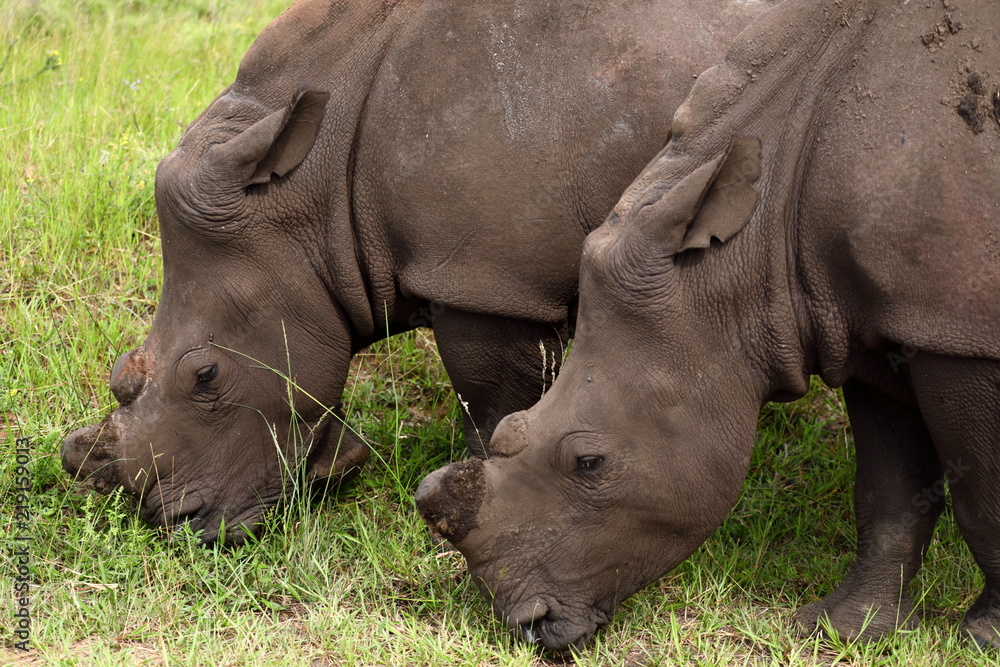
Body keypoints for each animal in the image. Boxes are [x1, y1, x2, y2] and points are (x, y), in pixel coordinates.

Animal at [60, 0, 774, 543]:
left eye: (206, 375)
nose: (178, 526)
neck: (311, 191)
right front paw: (334, 469)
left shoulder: (486, 282)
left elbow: (494, 401)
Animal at [416, 0, 1000, 653]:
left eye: (590, 463)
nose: (529, 626)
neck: (757, 240)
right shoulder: (871, 324)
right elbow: (889, 489)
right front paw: (846, 629)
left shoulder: (961, 335)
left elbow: (985, 493)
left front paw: (984, 638)